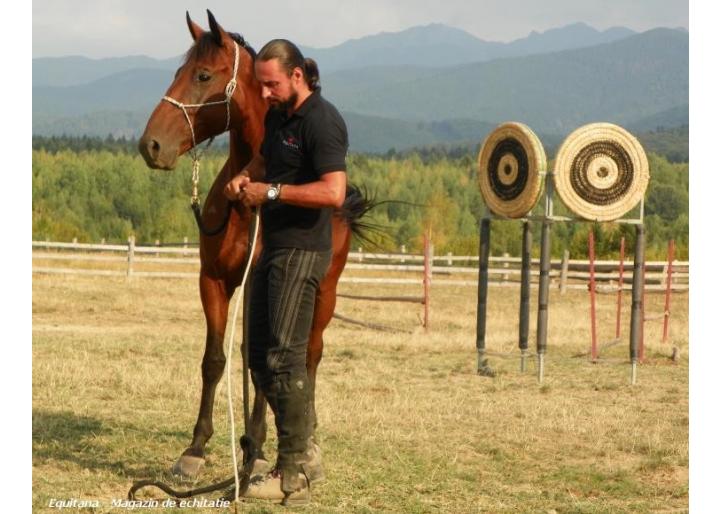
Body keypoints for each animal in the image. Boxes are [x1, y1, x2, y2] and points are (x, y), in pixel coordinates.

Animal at [138, 11, 372, 476]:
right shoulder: (214, 282)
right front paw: (196, 448)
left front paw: (258, 448)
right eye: (177, 73)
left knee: (310, 356)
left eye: (203, 75)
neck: (246, 207)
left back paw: (305, 437)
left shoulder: (270, 289)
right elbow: (215, 359)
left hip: (324, 296)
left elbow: (266, 364)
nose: (150, 145)